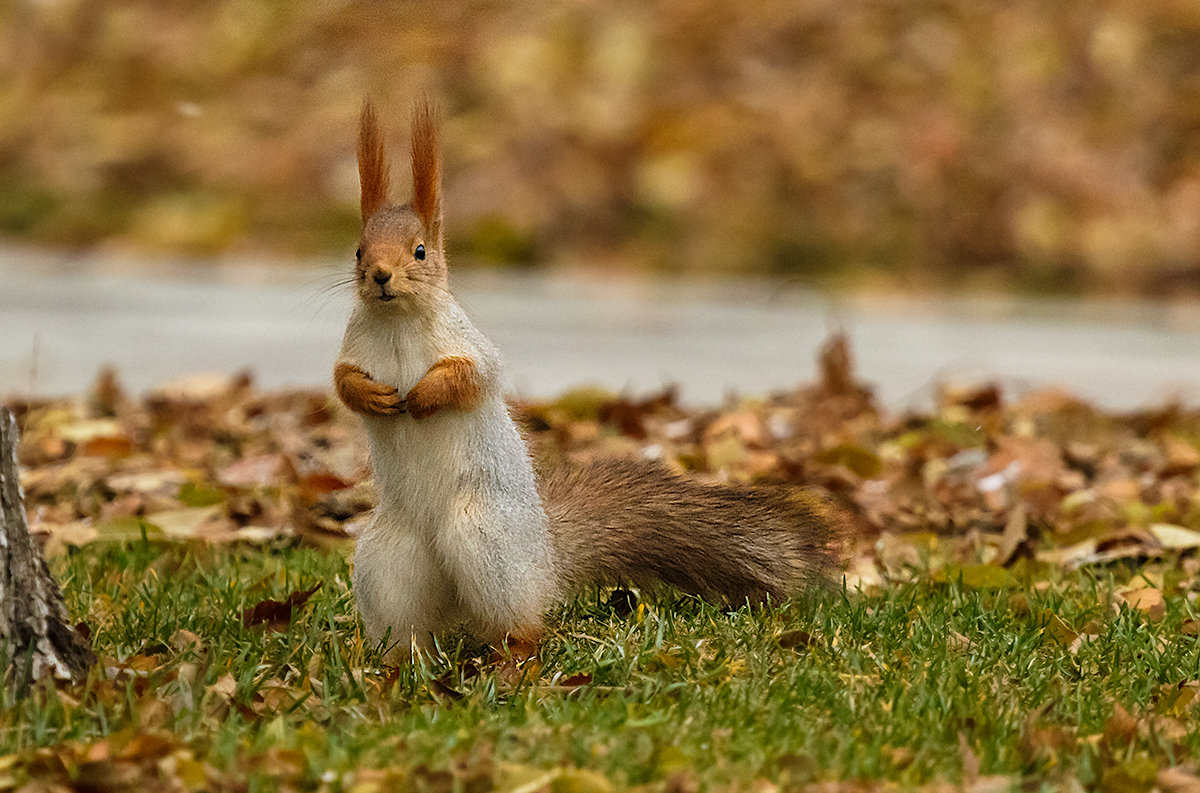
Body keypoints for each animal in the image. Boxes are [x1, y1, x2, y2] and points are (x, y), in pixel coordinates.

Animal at [328, 97, 835, 657]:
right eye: (358, 251)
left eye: (420, 251)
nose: (380, 276)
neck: (397, 323)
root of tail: (544, 564)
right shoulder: (353, 348)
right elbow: (342, 380)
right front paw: (372, 397)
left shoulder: (472, 349)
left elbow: (471, 379)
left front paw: (424, 395)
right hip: (388, 561)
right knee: (408, 628)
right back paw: (392, 663)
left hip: (486, 541)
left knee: (521, 627)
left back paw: (512, 659)